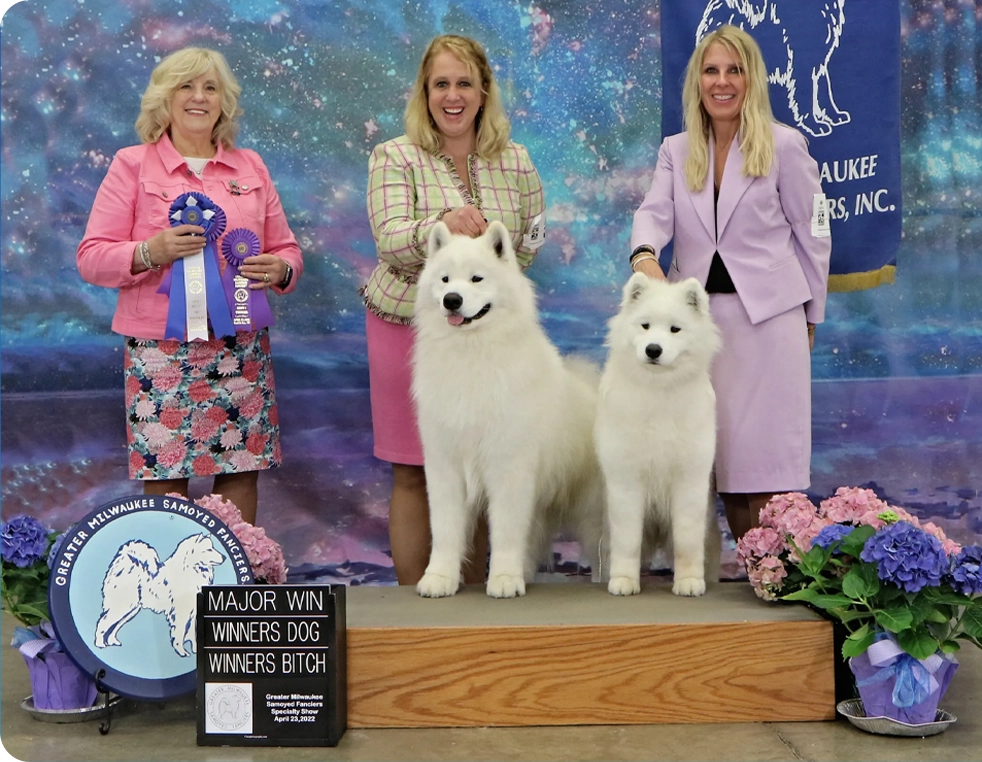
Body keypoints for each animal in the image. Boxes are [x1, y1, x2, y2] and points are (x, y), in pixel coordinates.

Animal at [412, 220, 604, 600]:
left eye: (476, 279)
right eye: (444, 279)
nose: (451, 300)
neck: (471, 353)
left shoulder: (509, 467)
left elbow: (505, 531)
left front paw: (502, 580)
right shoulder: (444, 466)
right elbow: (445, 530)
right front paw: (439, 579)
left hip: (596, 509)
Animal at [592, 276, 724, 596]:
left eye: (675, 329)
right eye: (645, 326)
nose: (653, 349)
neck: (659, 391)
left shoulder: (689, 480)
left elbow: (687, 541)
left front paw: (689, 582)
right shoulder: (627, 480)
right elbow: (627, 541)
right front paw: (624, 581)